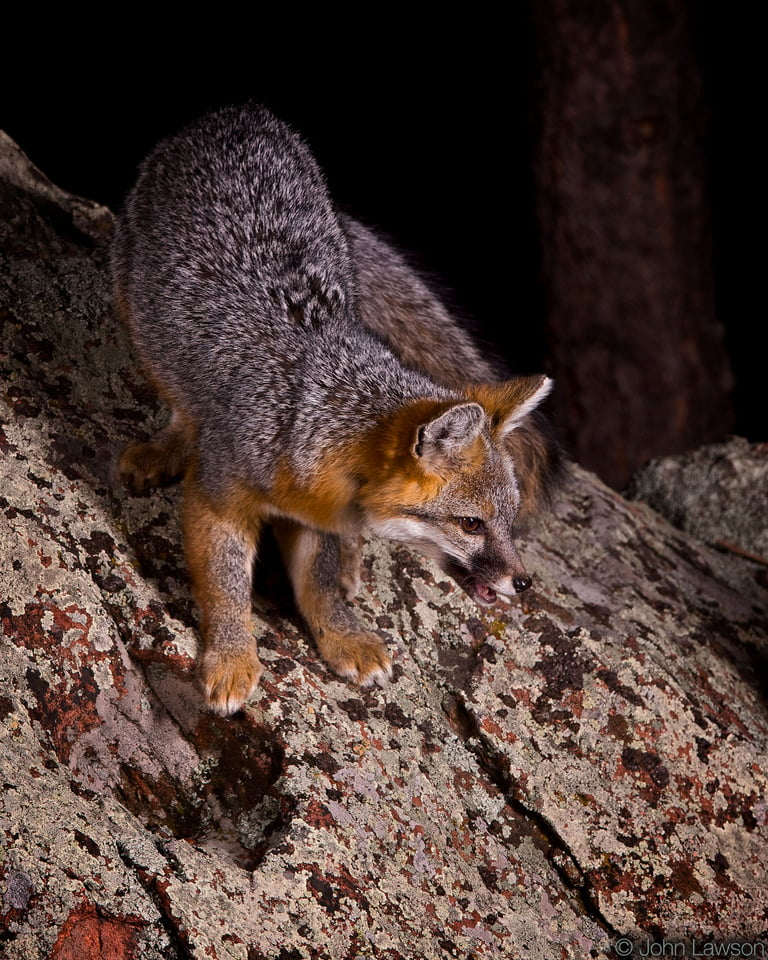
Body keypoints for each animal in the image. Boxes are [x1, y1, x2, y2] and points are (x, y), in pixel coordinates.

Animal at [111, 103, 560, 712]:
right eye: (471, 524)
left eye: (509, 521)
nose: (524, 583)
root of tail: (241, 113)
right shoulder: (220, 499)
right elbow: (227, 587)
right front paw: (231, 656)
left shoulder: (312, 515)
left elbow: (319, 583)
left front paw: (343, 634)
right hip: (138, 310)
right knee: (181, 401)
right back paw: (171, 444)